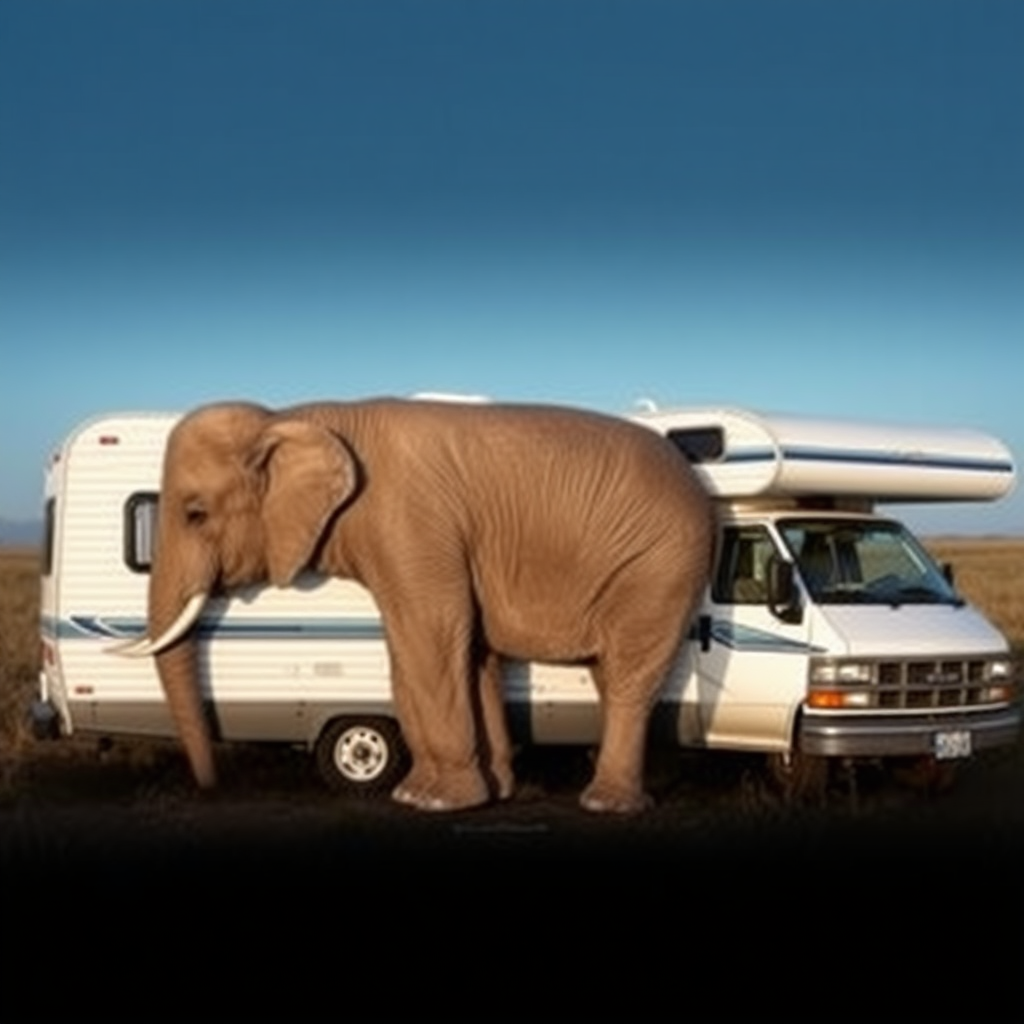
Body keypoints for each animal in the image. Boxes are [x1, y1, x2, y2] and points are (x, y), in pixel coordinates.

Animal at [116, 395, 716, 811]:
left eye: (194, 513)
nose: (212, 785)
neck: (293, 416)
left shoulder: (412, 524)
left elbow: (430, 632)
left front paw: (436, 802)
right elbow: (438, 647)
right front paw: (455, 793)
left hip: (661, 565)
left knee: (631, 674)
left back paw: (605, 804)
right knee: (609, 676)